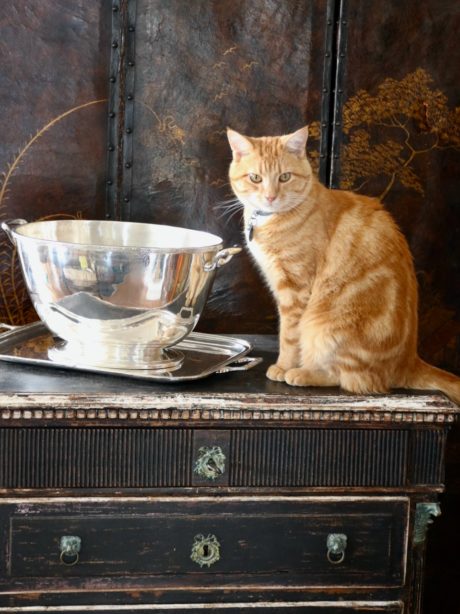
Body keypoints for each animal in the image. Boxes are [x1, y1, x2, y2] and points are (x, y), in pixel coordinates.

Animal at [226, 124, 460, 404]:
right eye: (255, 178)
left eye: (284, 177)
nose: (270, 197)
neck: (270, 219)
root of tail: (409, 362)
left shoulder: (295, 289)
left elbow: (289, 336)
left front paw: (283, 366)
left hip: (327, 328)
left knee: (347, 378)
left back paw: (302, 373)